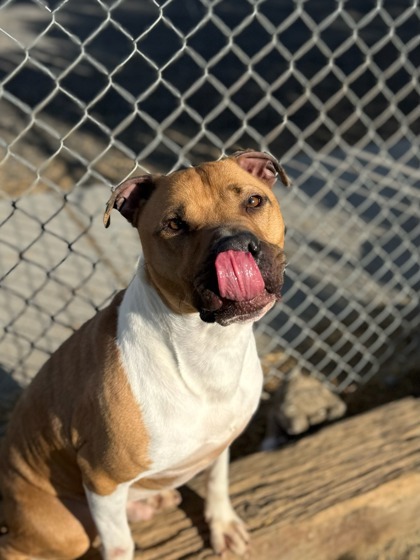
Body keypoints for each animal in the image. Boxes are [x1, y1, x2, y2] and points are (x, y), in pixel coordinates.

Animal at [0, 150, 288, 560]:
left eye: (253, 201)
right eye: (174, 224)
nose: (233, 245)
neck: (207, 349)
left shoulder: (220, 442)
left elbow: (216, 482)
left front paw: (223, 525)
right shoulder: (102, 479)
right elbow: (120, 545)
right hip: (63, 528)